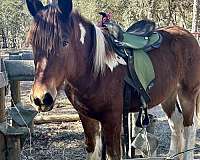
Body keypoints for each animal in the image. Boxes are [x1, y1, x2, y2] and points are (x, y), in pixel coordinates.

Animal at [27, 0, 200, 160]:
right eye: (32, 43)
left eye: (65, 42)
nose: (41, 98)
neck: (95, 72)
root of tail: (187, 34)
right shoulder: (87, 118)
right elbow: (92, 150)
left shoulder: (112, 119)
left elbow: (114, 154)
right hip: (168, 95)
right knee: (176, 123)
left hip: (187, 94)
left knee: (189, 126)